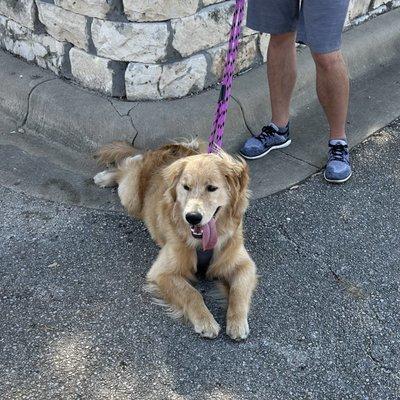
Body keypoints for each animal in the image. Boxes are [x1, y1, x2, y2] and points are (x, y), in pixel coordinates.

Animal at [93, 141, 256, 340]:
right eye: (186, 187)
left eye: (212, 188)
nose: (192, 217)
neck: (202, 244)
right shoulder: (162, 272)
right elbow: (192, 293)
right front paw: (205, 321)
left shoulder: (245, 264)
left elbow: (238, 290)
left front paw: (238, 322)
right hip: (130, 197)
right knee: (127, 166)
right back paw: (105, 177)